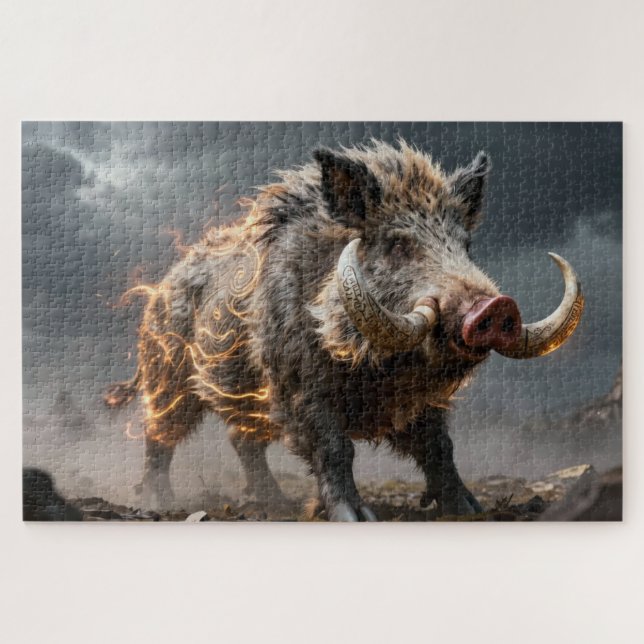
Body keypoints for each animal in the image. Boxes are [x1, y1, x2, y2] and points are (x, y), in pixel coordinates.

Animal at [105, 140, 584, 520]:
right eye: (398, 244)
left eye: (466, 246)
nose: (497, 305)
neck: (377, 370)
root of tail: (159, 289)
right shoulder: (298, 386)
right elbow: (335, 449)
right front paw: (355, 517)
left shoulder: (423, 403)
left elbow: (439, 447)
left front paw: (469, 509)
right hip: (167, 377)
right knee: (159, 436)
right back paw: (160, 502)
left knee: (242, 440)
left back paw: (274, 504)